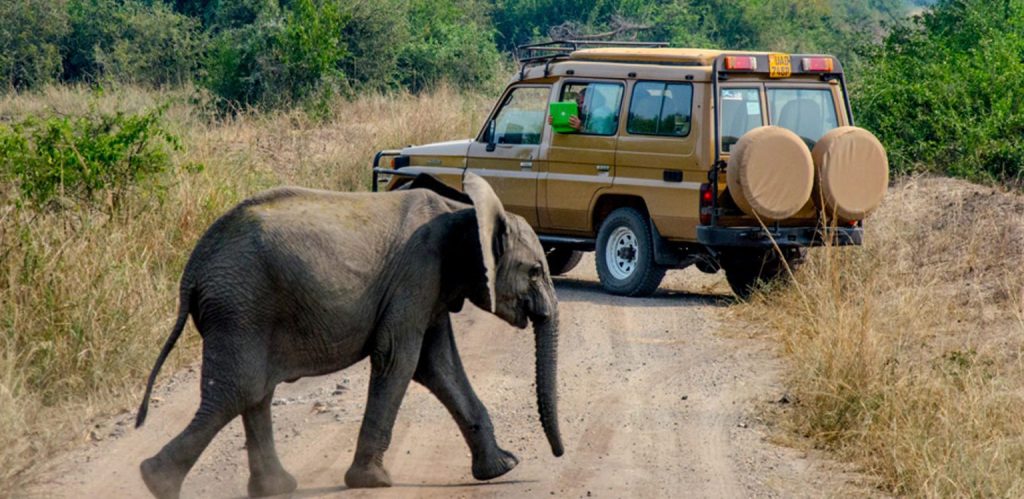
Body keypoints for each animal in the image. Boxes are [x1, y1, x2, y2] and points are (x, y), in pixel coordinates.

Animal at [132, 173, 565, 499]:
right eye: (535, 272)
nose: (558, 456)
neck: (463, 211)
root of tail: (193, 268)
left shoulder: (433, 286)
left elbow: (438, 365)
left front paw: (502, 468)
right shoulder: (418, 273)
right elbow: (400, 358)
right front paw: (373, 482)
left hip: (244, 309)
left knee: (254, 393)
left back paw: (273, 488)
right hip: (240, 306)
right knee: (238, 391)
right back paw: (156, 482)